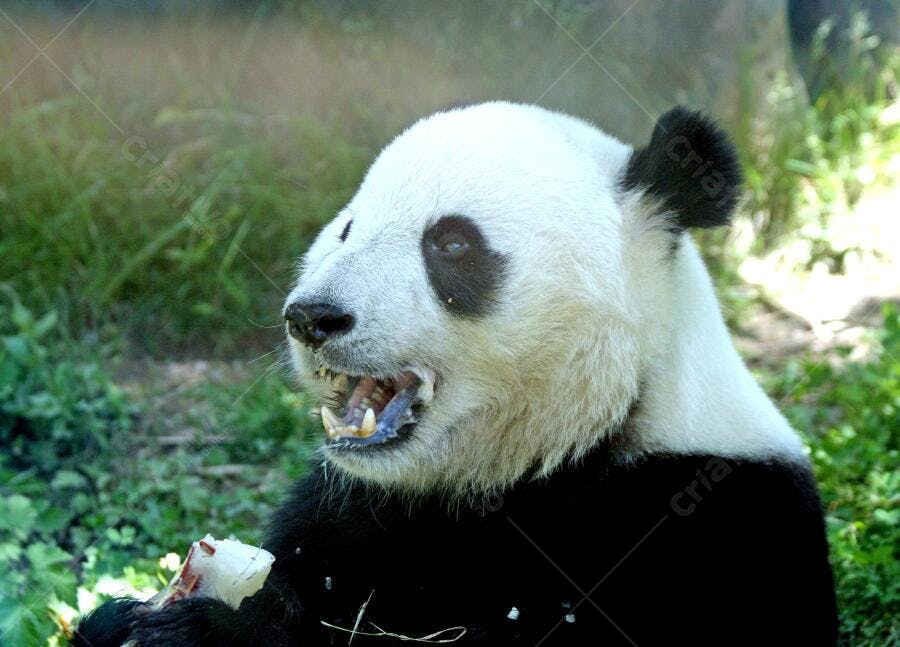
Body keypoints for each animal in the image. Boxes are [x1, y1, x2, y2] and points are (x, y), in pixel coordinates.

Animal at [75, 102, 838, 646]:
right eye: (348, 228)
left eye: (451, 243)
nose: (313, 316)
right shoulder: (362, 505)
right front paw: (124, 618)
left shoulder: (707, 527)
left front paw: (208, 631)